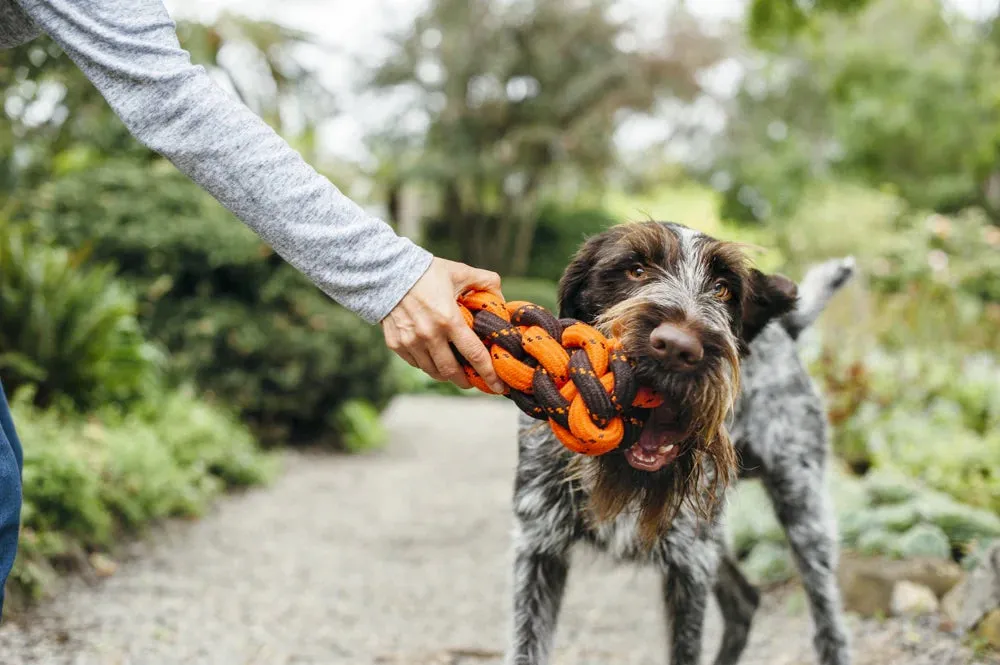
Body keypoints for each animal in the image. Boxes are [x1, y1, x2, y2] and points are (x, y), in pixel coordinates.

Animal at [508, 222, 852, 664]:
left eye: (723, 289)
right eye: (635, 270)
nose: (677, 347)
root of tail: (783, 332)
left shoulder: (688, 565)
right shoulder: (539, 547)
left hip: (802, 512)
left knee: (828, 627)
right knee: (744, 601)